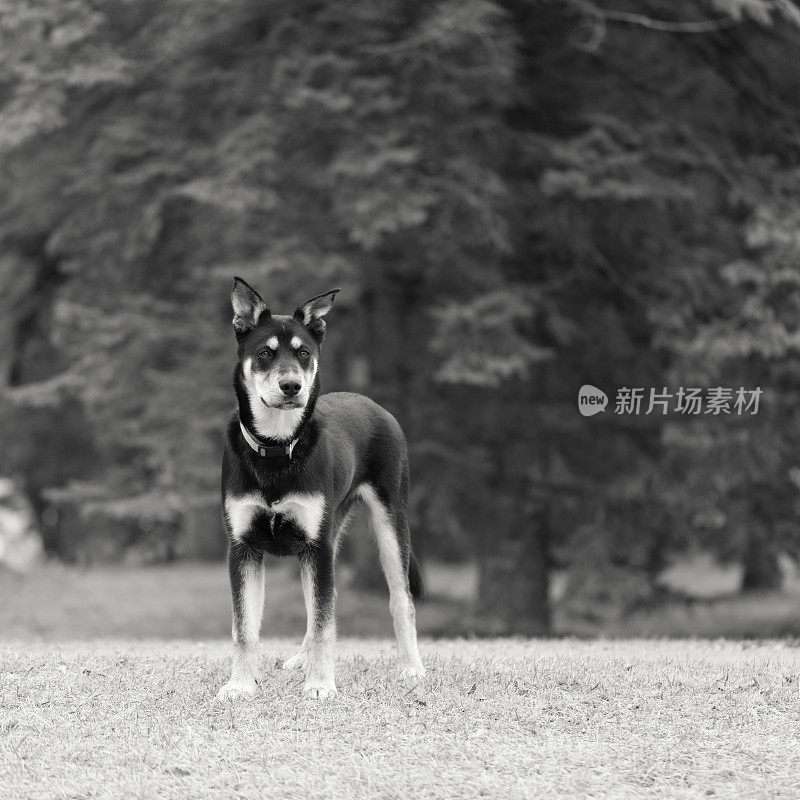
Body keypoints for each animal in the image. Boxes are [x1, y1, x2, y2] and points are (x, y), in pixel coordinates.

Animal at [212, 276, 424, 700]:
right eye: (264, 353)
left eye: (304, 353)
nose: (291, 386)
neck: (277, 449)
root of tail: (377, 406)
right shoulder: (243, 547)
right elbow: (245, 628)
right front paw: (241, 685)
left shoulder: (316, 546)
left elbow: (326, 623)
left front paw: (321, 685)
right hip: (331, 532)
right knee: (320, 605)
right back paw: (300, 659)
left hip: (389, 520)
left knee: (401, 598)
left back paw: (411, 667)